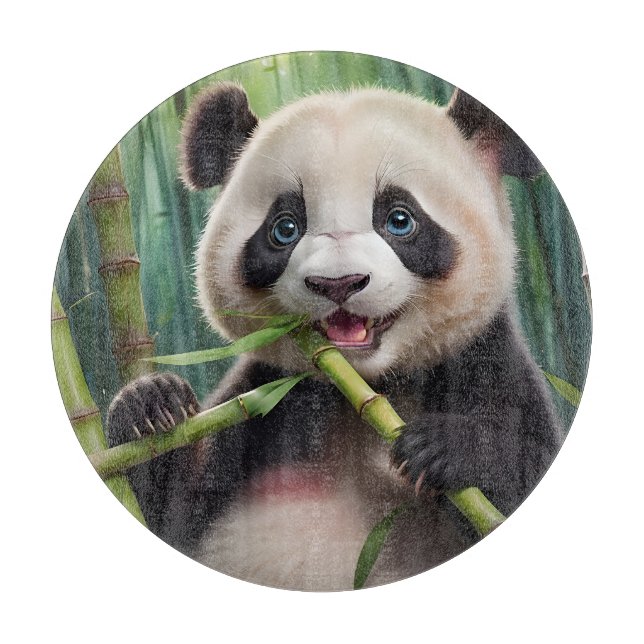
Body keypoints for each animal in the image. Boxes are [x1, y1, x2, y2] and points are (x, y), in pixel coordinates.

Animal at [107, 83, 564, 591]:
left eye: (400, 219)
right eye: (285, 227)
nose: (338, 283)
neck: (367, 390)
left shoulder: (483, 362)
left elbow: (517, 470)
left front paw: (442, 450)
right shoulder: (266, 408)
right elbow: (170, 506)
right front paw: (151, 406)